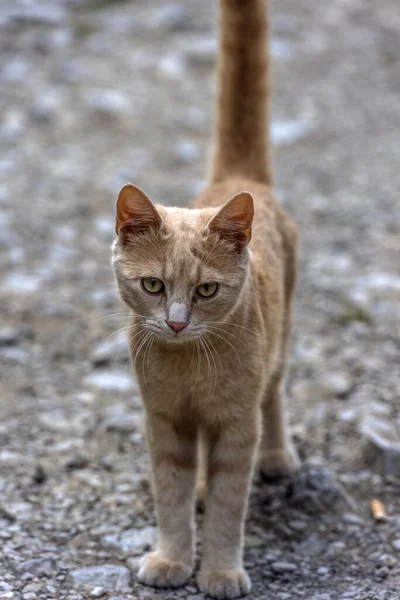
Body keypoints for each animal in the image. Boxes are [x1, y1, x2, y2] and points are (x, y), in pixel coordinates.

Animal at [111, 0, 298, 596]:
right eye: (152, 286)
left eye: (206, 290)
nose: (174, 323)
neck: (188, 365)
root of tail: (239, 181)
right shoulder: (164, 421)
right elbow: (170, 493)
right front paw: (172, 558)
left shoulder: (236, 425)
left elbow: (227, 505)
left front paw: (218, 570)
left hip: (279, 345)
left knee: (275, 391)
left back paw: (278, 456)